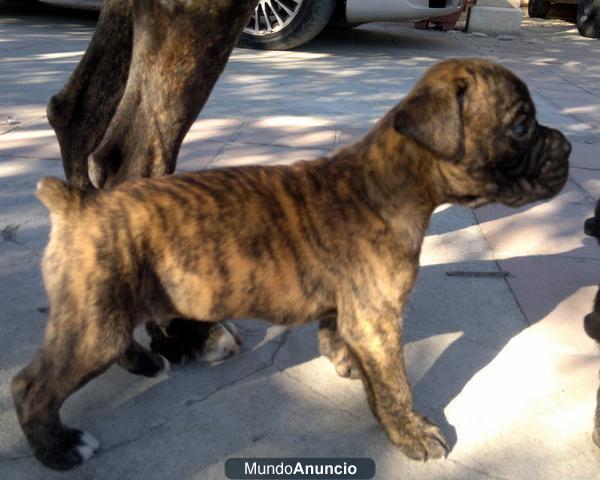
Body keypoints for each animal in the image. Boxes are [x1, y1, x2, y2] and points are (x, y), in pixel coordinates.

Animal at [11, 59, 568, 468]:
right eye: (521, 125)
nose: (564, 146)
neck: (391, 181)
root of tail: (76, 204)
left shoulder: (353, 313)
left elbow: (343, 342)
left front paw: (348, 366)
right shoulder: (378, 320)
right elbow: (395, 383)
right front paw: (410, 431)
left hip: (106, 309)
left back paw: (146, 362)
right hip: (94, 322)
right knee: (31, 387)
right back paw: (60, 449)